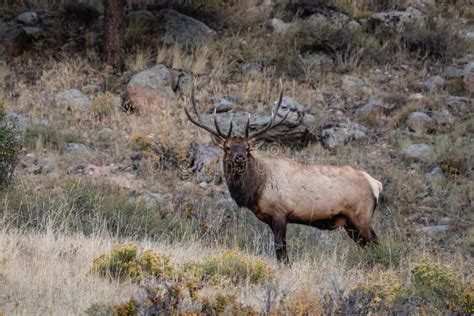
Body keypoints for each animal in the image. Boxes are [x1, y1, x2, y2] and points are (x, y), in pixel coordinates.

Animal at [183, 82, 384, 264]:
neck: (256, 187)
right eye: (227, 147)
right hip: (350, 223)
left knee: (375, 243)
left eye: (248, 148)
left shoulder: (280, 213)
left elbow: (281, 251)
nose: (240, 157)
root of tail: (376, 184)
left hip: (361, 216)